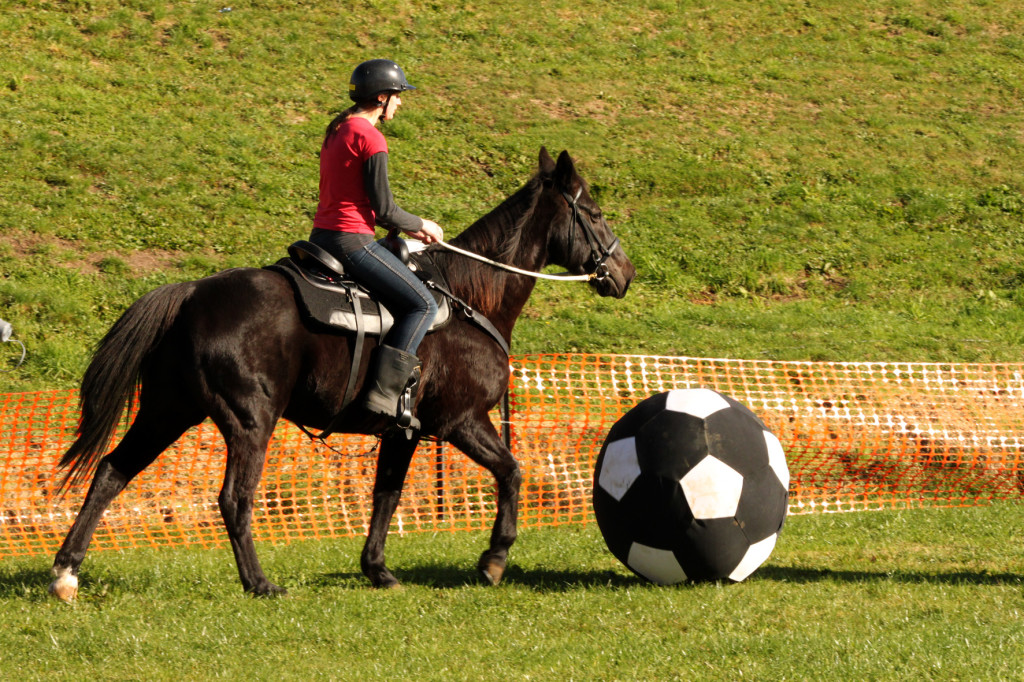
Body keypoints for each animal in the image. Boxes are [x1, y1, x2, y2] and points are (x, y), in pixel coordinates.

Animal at [49, 147, 636, 600]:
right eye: (594, 212)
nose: (624, 273)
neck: (467, 300)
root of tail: (191, 293)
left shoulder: (406, 432)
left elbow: (386, 496)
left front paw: (377, 569)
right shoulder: (461, 421)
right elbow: (511, 472)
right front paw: (494, 557)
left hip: (168, 412)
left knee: (111, 472)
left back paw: (66, 572)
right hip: (248, 423)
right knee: (233, 500)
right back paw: (259, 583)